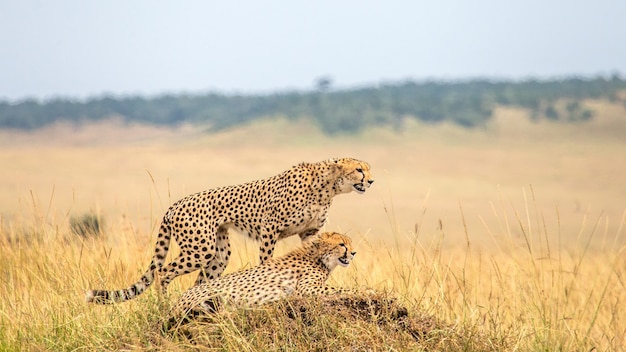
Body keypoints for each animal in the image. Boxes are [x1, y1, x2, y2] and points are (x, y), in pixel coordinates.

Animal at [86, 158, 372, 304]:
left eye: (367, 169)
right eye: (359, 169)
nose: (370, 180)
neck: (328, 186)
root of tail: (173, 205)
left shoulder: (309, 232)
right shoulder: (269, 228)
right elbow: (266, 261)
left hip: (219, 253)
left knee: (200, 281)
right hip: (200, 249)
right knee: (162, 272)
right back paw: (164, 304)